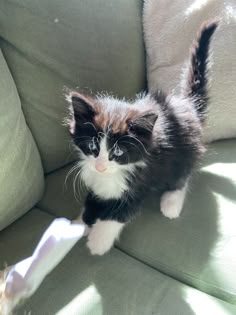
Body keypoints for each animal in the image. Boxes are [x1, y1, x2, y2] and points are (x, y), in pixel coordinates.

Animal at [67, 19, 219, 256]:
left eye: (118, 152)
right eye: (92, 146)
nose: (100, 166)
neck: (114, 174)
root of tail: (187, 105)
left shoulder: (140, 184)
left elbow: (118, 213)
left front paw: (98, 240)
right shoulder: (97, 183)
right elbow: (92, 201)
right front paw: (80, 223)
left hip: (184, 154)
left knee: (181, 178)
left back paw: (171, 203)